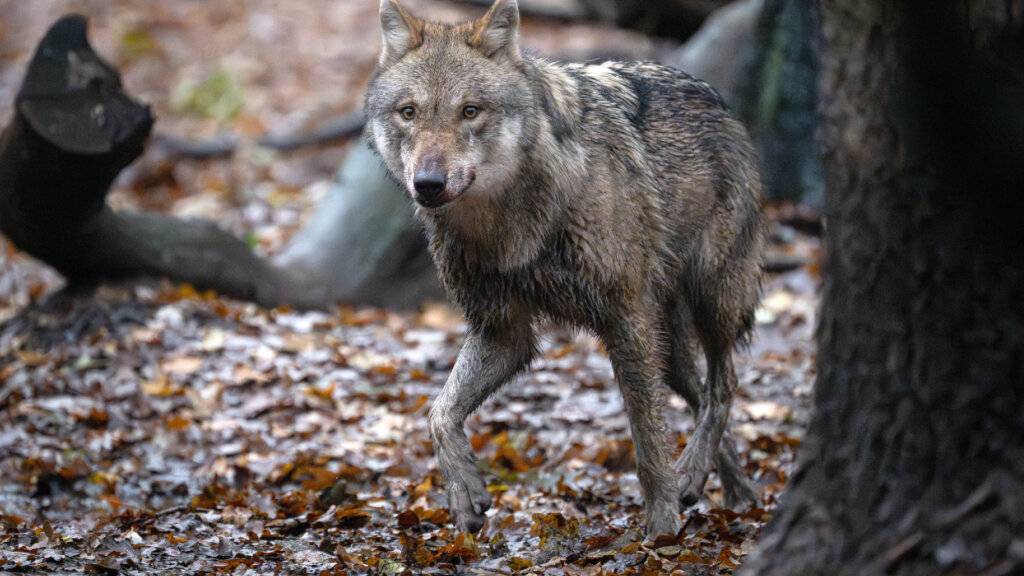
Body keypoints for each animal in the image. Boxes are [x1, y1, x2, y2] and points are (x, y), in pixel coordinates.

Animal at [365, 0, 764, 537]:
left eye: (470, 111)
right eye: (408, 113)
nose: (428, 183)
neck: (507, 225)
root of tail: (719, 102)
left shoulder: (625, 320)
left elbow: (646, 439)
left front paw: (661, 527)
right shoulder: (502, 332)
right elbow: (438, 414)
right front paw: (465, 492)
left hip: (712, 299)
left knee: (725, 385)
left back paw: (696, 478)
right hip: (670, 346)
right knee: (701, 395)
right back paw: (729, 490)